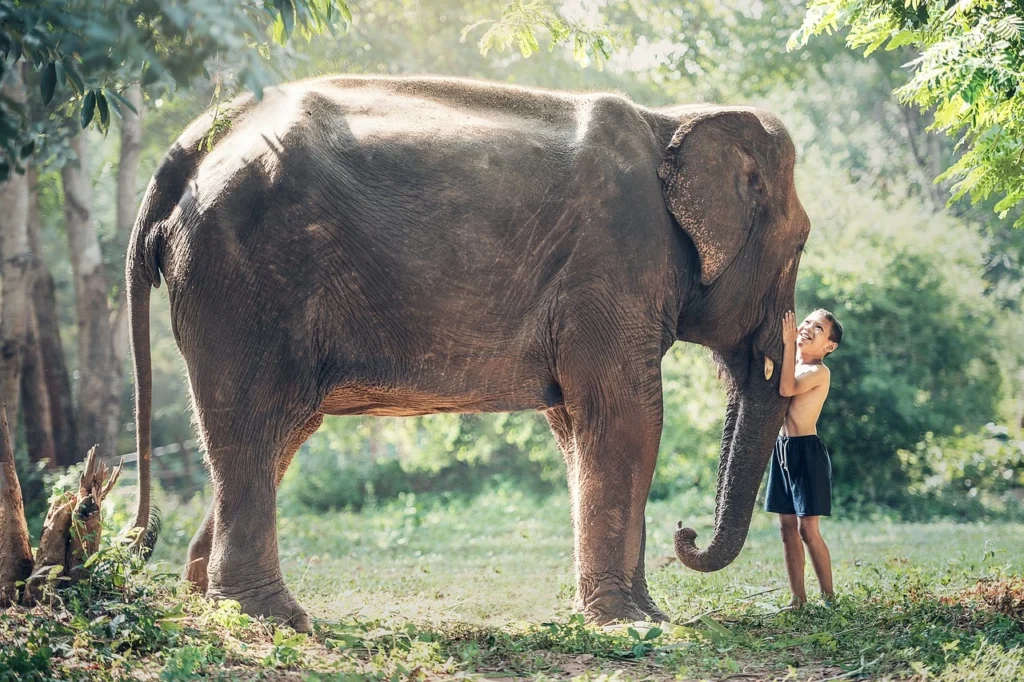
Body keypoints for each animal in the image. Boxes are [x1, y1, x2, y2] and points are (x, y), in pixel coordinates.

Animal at [123, 73, 806, 626]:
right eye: (800, 244)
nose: (685, 533)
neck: (671, 119)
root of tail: (193, 144)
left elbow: (577, 427)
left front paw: (642, 615)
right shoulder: (614, 262)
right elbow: (628, 418)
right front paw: (632, 623)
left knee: (278, 432)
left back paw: (204, 599)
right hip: (243, 279)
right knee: (254, 421)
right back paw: (273, 619)